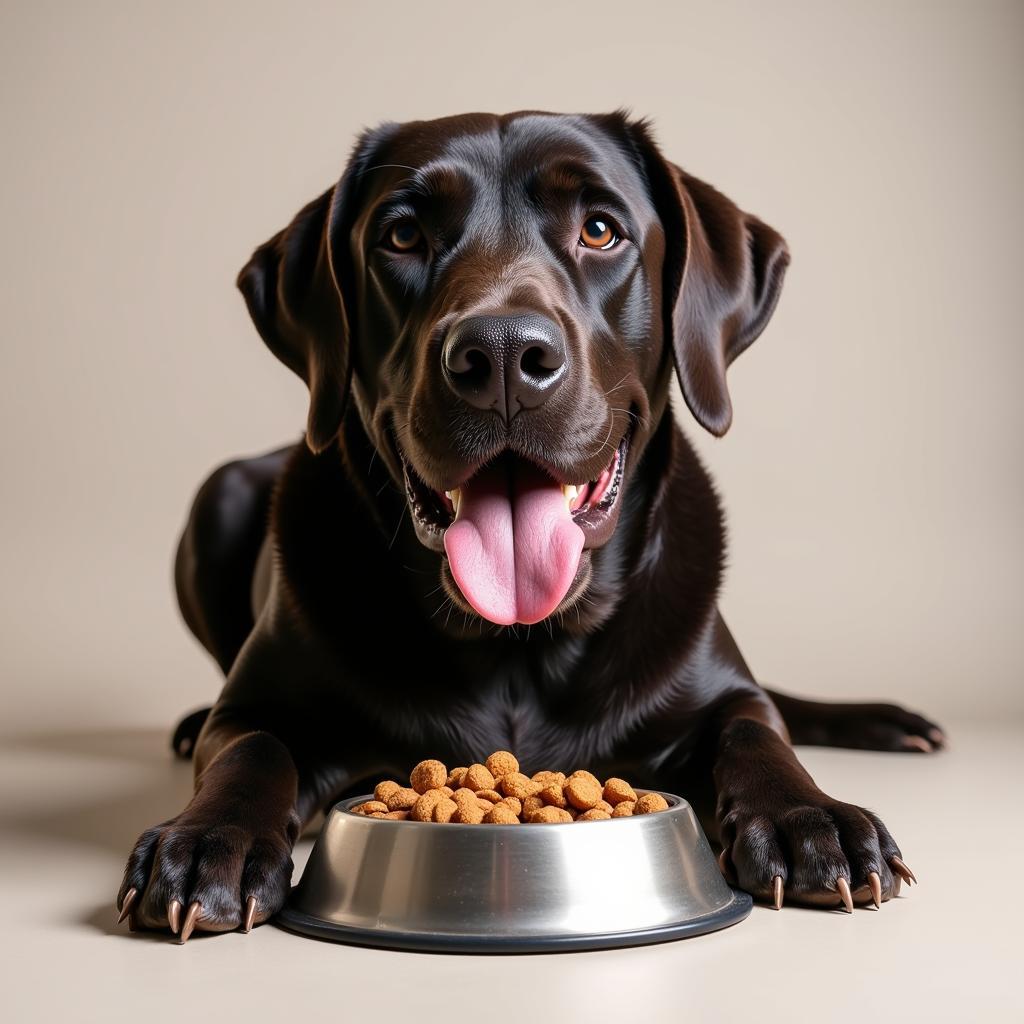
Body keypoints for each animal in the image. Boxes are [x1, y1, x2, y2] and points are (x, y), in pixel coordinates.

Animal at [116, 112, 937, 942]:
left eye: (600, 230)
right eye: (402, 236)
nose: (504, 355)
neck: (516, 644)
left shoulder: (721, 692)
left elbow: (756, 729)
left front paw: (811, 819)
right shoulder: (259, 707)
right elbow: (249, 749)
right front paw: (207, 841)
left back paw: (888, 720)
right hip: (217, 498)